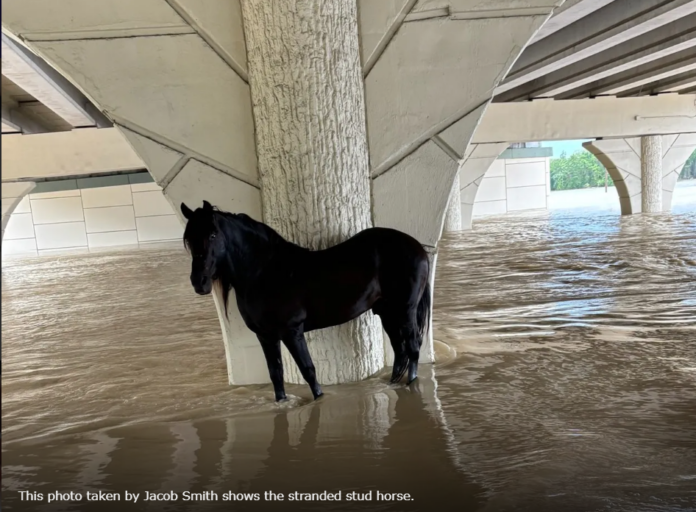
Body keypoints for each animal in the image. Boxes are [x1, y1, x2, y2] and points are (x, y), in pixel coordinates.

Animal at [180, 200, 431, 402]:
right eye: (189, 240)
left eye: (212, 234)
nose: (199, 282)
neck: (265, 272)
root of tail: (417, 246)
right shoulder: (265, 336)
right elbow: (276, 374)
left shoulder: (292, 331)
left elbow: (308, 370)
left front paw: (318, 398)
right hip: (387, 312)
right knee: (400, 351)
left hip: (405, 311)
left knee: (412, 347)